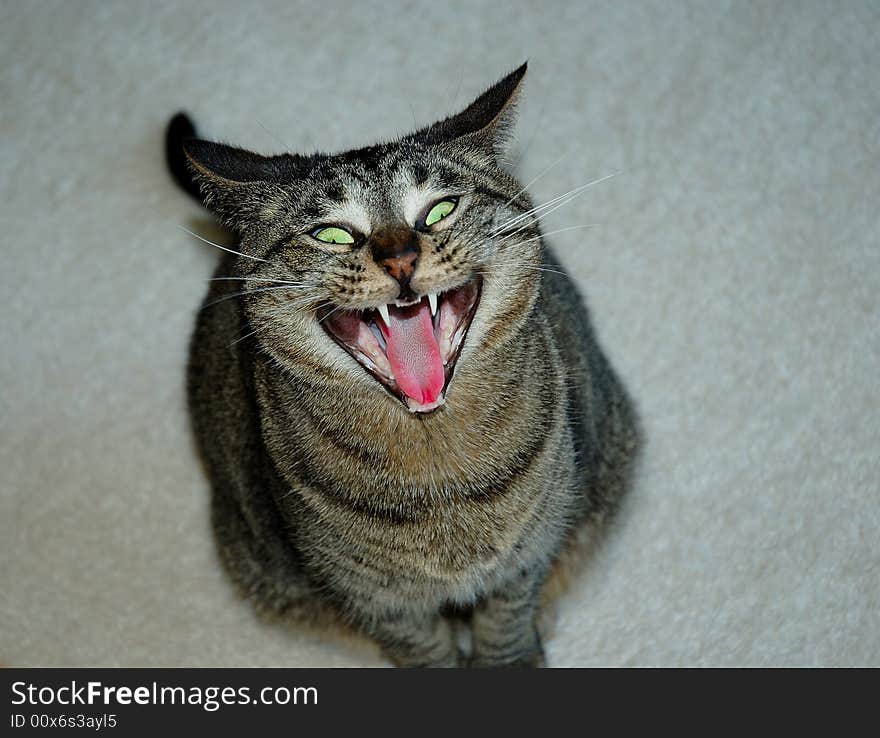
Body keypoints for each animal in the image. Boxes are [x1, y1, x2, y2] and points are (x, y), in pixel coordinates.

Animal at [167, 64, 640, 668]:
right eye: (332, 232)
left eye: (439, 208)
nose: (400, 258)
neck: (438, 477)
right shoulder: (378, 601)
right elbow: (423, 650)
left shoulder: (523, 560)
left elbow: (505, 626)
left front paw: (514, 655)